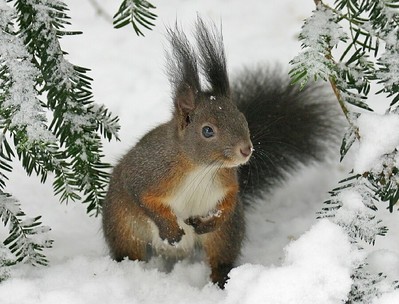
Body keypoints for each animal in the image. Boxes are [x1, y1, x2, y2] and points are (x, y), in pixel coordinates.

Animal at [101, 17, 340, 288]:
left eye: (242, 118)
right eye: (207, 131)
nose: (246, 150)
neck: (199, 168)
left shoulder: (226, 181)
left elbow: (229, 200)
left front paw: (208, 222)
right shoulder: (148, 170)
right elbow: (141, 196)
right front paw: (170, 229)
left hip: (226, 235)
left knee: (220, 256)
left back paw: (222, 279)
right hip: (124, 225)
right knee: (130, 251)